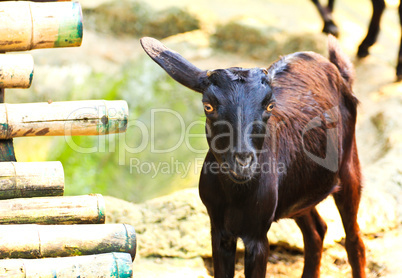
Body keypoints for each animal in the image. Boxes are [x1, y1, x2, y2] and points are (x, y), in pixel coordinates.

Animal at [140, 35, 366, 276]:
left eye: (269, 105)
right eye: (208, 106)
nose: (243, 162)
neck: (236, 195)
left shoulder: (257, 235)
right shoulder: (219, 229)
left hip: (349, 165)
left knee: (354, 240)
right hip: (299, 189)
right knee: (316, 231)